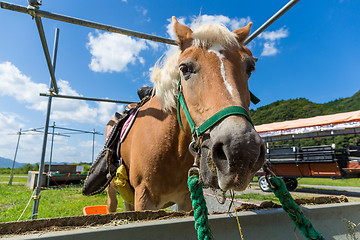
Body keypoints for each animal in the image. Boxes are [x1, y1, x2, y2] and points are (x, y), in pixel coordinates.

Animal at [104, 16, 264, 212]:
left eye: (250, 68)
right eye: (184, 68)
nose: (241, 150)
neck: (171, 149)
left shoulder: (186, 199)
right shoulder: (144, 198)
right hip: (112, 192)